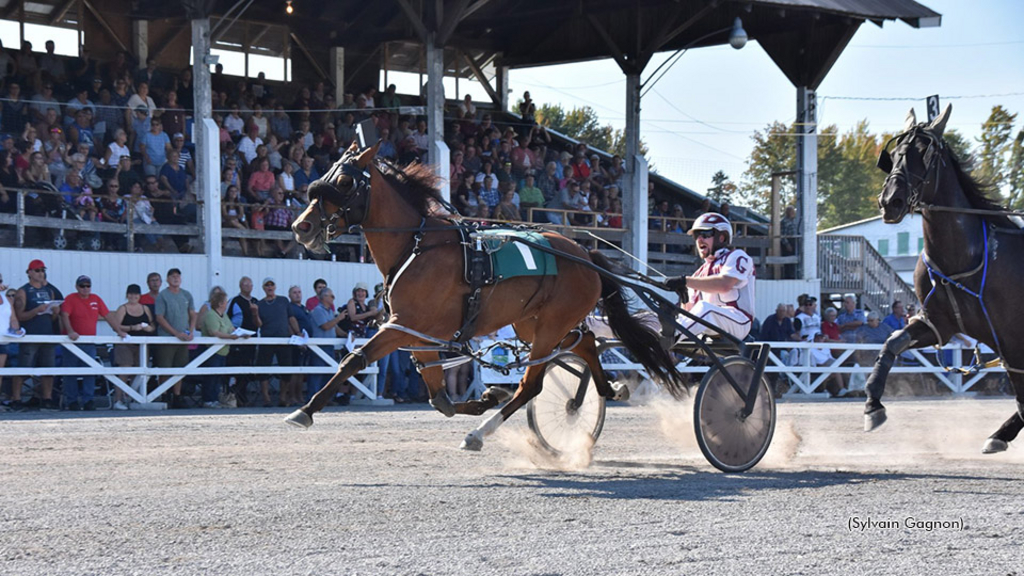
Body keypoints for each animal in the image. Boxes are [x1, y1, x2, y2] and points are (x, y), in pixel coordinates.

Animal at [284, 142, 684, 448]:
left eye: (344, 181)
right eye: (324, 175)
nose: (301, 226)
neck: (417, 245)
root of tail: (585, 254)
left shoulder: (401, 326)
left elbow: (353, 361)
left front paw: (304, 411)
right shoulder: (417, 334)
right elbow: (440, 399)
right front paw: (486, 397)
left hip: (550, 326)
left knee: (531, 384)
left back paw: (480, 432)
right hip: (532, 324)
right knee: (584, 342)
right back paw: (605, 389)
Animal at [872, 104, 1024, 453]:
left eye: (925, 154)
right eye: (895, 155)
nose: (890, 201)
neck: (963, 259)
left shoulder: (1012, 338)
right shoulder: (937, 323)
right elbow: (892, 343)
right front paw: (873, 406)